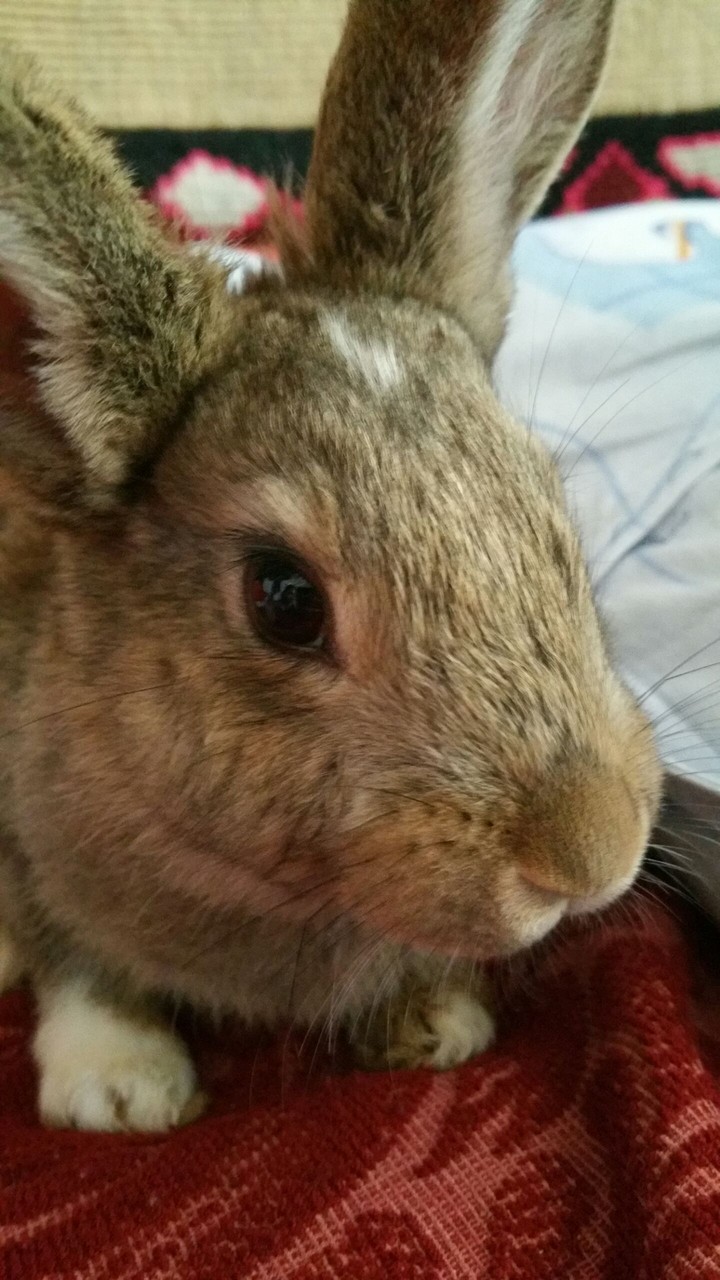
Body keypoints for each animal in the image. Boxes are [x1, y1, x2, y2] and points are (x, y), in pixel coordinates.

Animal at [0, 0, 661, 1134]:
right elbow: (76, 961)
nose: (592, 852)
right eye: (283, 599)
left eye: (548, 504)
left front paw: (437, 1022)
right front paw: (123, 1090)